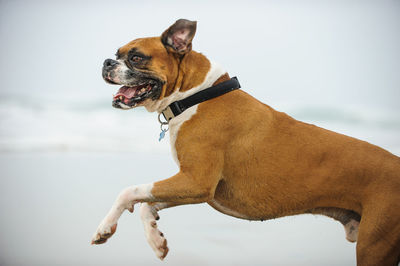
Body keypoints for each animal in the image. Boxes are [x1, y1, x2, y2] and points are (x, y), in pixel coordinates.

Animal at [91, 19, 400, 266]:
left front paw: (104, 228)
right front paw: (156, 240)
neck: (197, 95)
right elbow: (147, 204)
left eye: (136, 57)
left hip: (374, 246)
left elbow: (130, 191)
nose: (107, 62)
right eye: (117, 55)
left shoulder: (196, 181)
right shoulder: (192, 186)